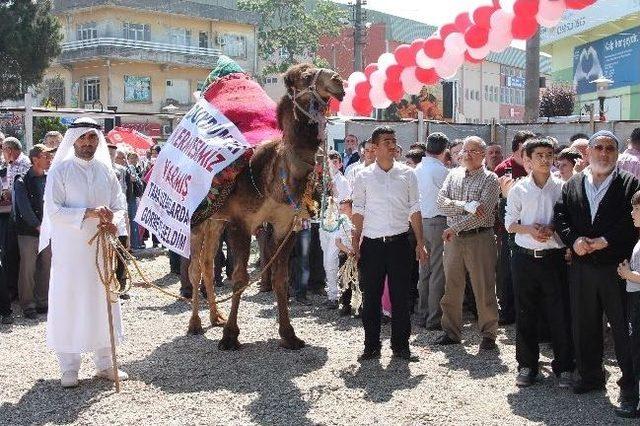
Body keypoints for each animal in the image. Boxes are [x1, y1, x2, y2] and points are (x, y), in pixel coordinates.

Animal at [185, 63, 344, 350]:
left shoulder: (285, 224)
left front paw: (289, 334)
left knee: (208, 265)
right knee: (195, 268)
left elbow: (281, 279)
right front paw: (230, 336)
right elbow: (239, 278)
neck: (274, 176)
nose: (338, 80)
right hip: (198, 220)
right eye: (305, 76)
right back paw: (195, 324)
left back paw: (216, 317)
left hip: (216, 221)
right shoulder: (241, 223)